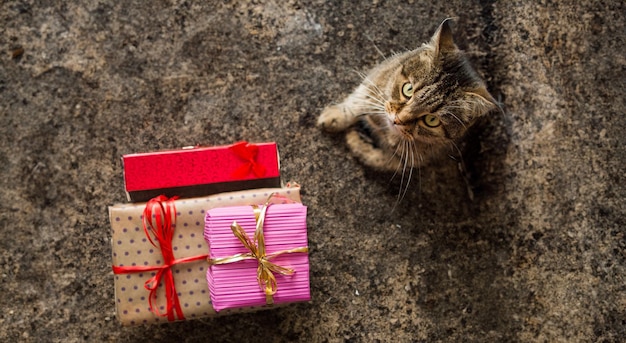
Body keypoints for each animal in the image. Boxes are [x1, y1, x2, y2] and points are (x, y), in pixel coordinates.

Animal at [320, 18, 494, 175]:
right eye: (408, 89)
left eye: (431, 120)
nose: (397, 120)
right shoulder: (374, 81)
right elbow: (356, 103)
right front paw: (334, 117)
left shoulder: (406, 162)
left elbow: (376, 158)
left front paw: (356, 141)